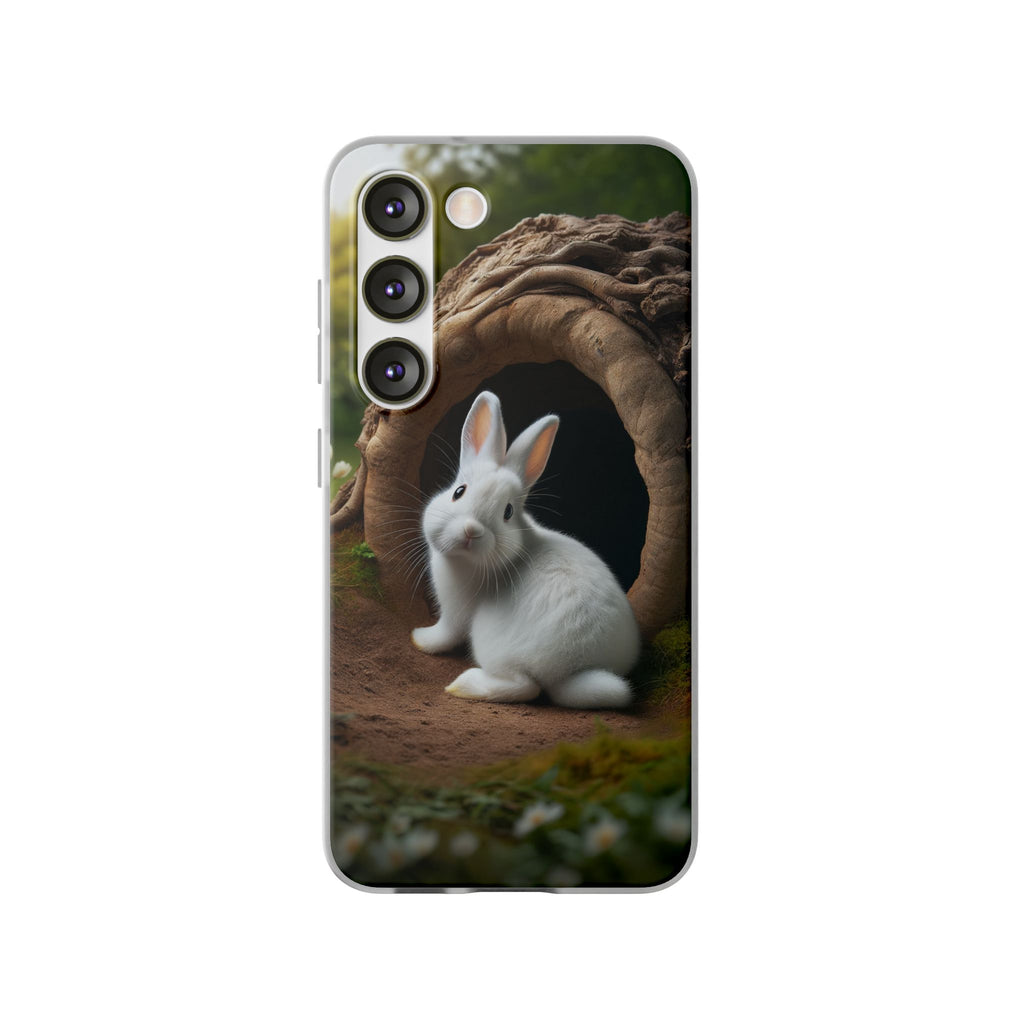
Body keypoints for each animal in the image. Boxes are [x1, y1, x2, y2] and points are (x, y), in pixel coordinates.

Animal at [411, 390, 641, 708]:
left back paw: (463, 685)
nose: (471, 530)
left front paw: (419, 638)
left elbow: (445, 634)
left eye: (507, 512)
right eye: (459, 492)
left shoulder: (455, 611)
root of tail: (573, 669)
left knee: (524, 687)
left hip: (493, 643)